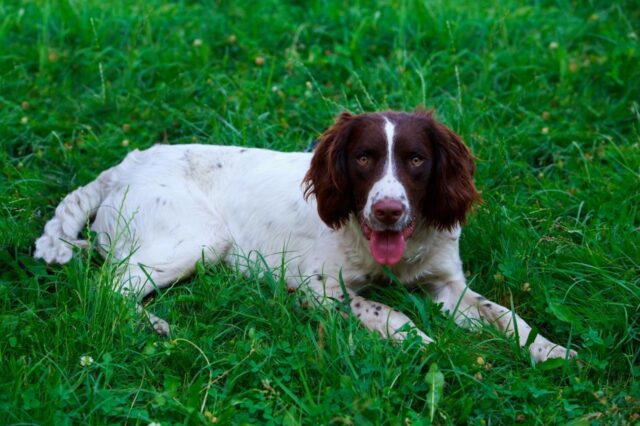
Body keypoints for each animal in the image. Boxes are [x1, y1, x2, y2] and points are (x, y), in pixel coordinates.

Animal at [32, 110, 576, 362]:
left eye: (417, 159)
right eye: (364, 157)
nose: (388, 210)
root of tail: (127, 163)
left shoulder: (448, 284)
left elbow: (505, 315)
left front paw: (552, 351)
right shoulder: (316, 286)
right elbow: (385, 309)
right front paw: (420, 341)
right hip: (197, 239)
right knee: (105, 288)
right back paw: (154, 325)